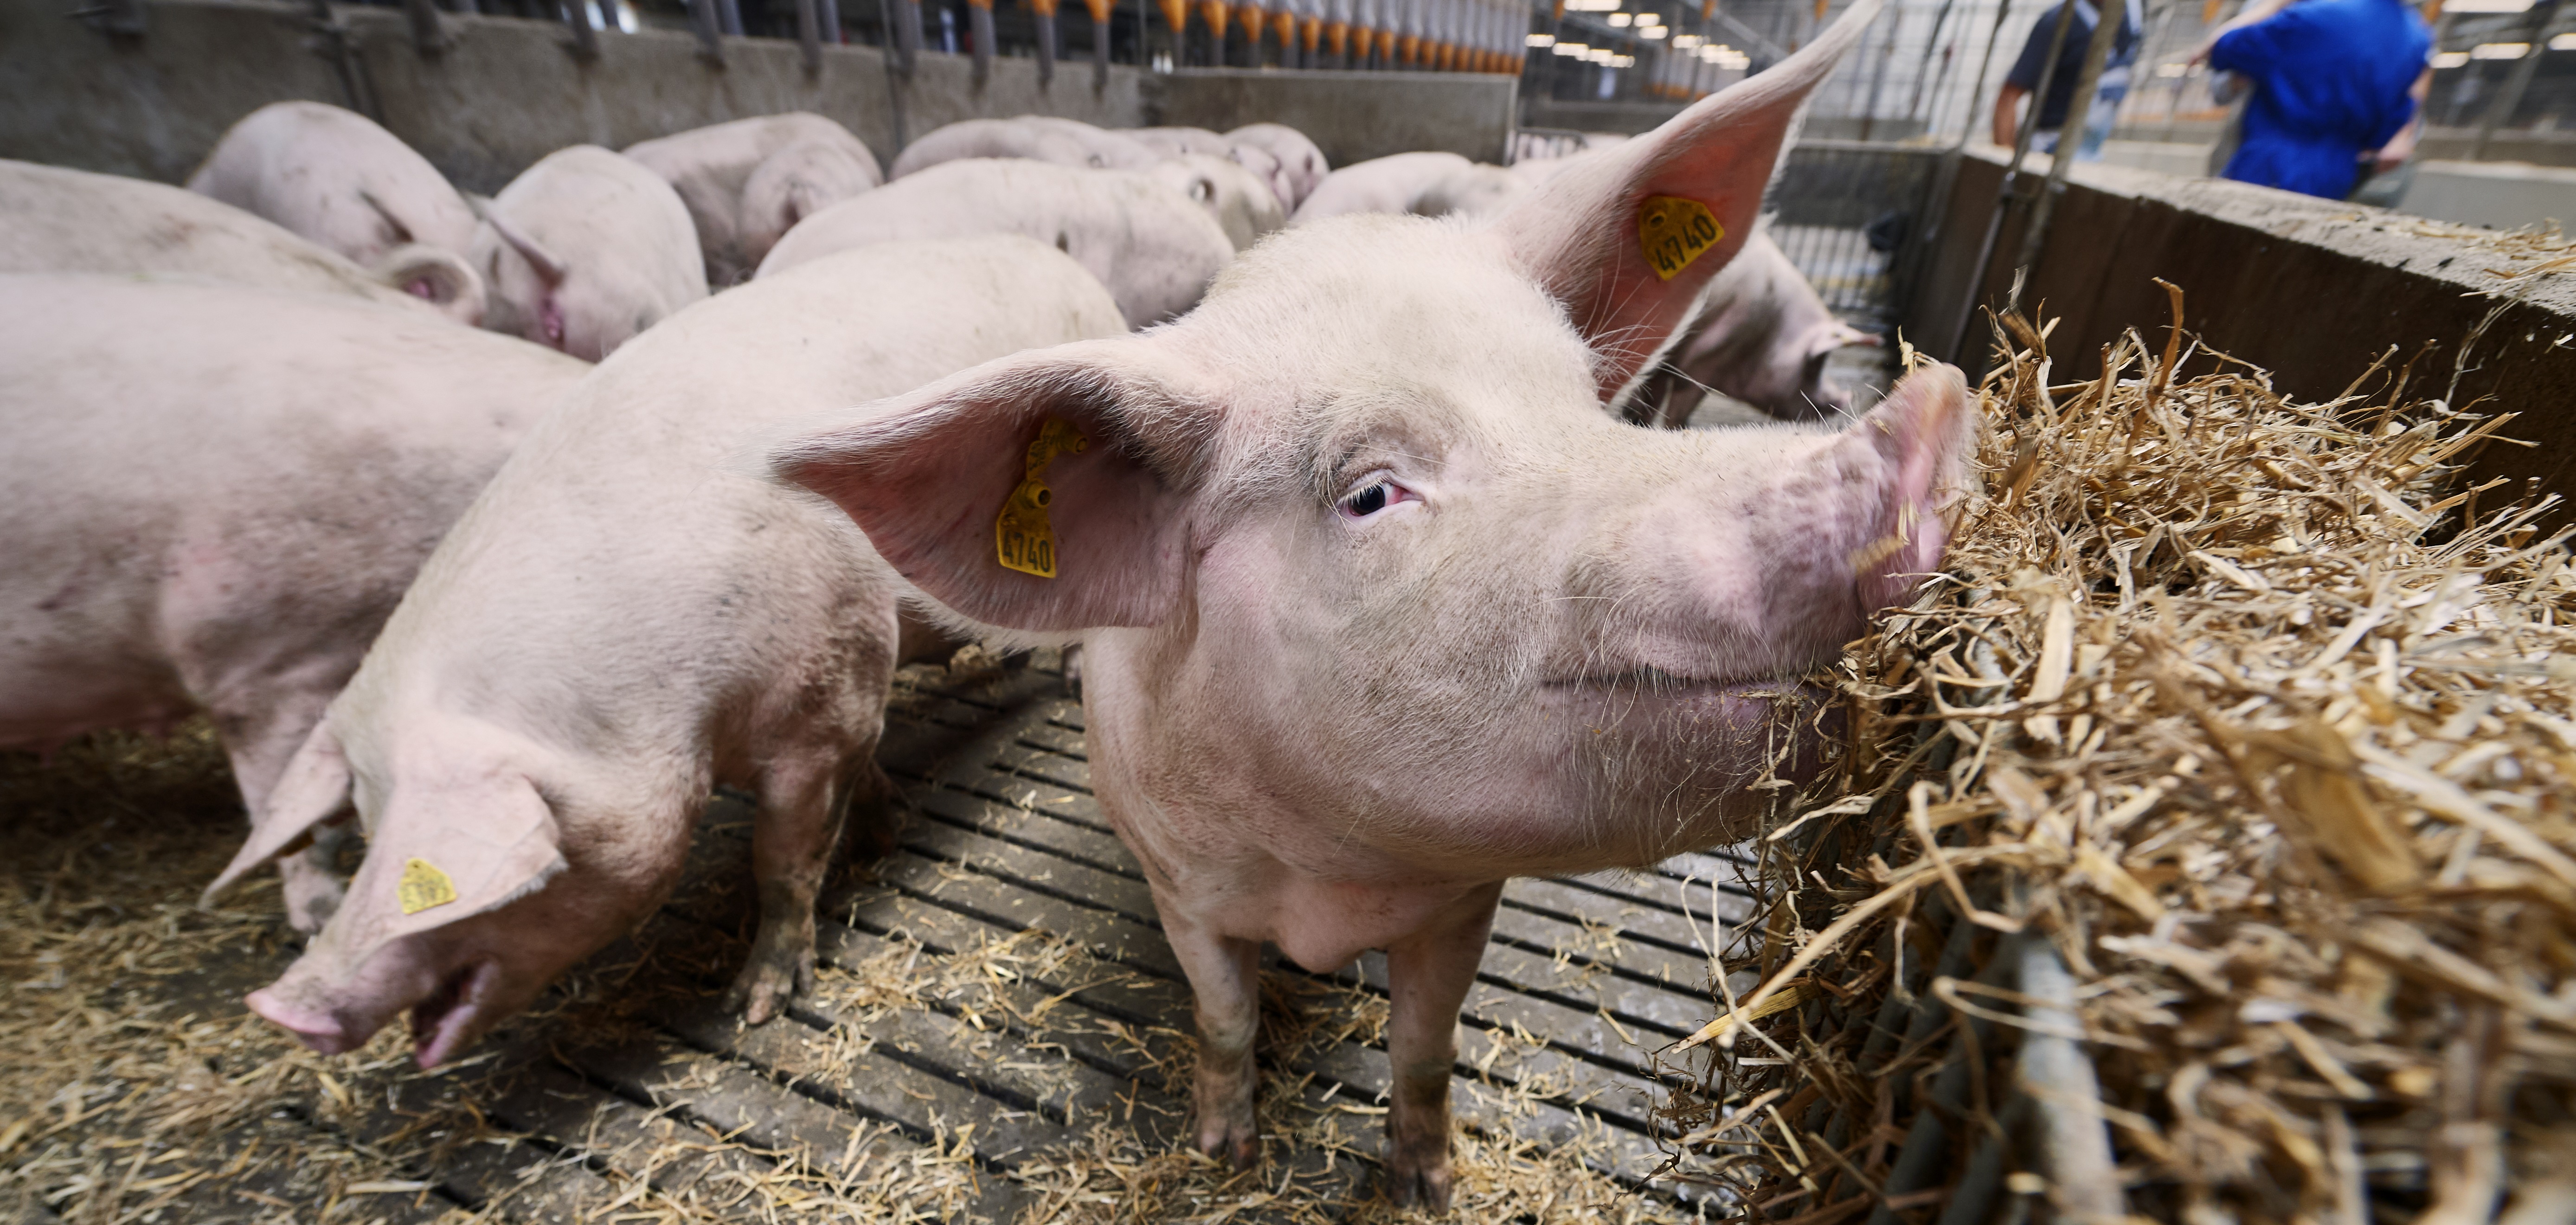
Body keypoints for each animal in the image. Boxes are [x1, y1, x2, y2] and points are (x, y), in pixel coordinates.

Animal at [207, 237, 1126, 1069]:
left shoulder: (817, 715)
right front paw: (882, 826)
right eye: (365, 821)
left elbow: (784, 863)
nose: (281, 1007)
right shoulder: (853, 682)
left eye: (434, 875)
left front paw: (753, 1005)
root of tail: (1065, 264)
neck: (668, 713)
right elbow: (859, 779)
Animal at [1628, 231, 1881, 425]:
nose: (1845, 400)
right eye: (1815, 366)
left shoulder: (1667, 359)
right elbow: (1676, 410)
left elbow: (1649, 400)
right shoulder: (1708, 359)